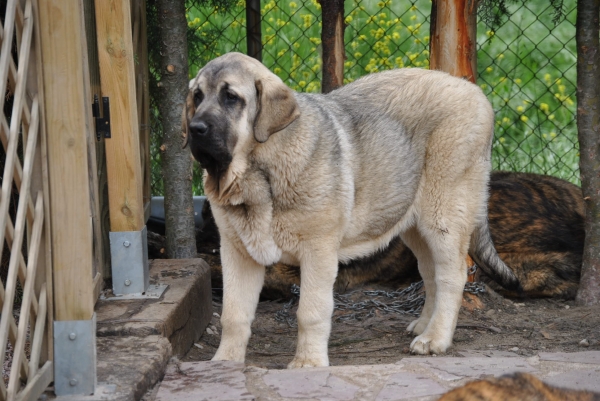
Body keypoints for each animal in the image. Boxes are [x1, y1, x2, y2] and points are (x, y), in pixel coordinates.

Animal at [184, 52, 520, 366]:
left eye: (231, 97)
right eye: (197, 96)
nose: (195, 127)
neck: (258, 172)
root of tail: (474, 91)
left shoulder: (317, 251)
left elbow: (310, 311)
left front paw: (308, 363)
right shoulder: (237, 251)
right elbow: (234, 313)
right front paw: (225, 362)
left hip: (443, 215)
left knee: (452, 276)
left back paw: (435, 339)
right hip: (414, 223)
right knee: (431, 273)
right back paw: (425, 326)